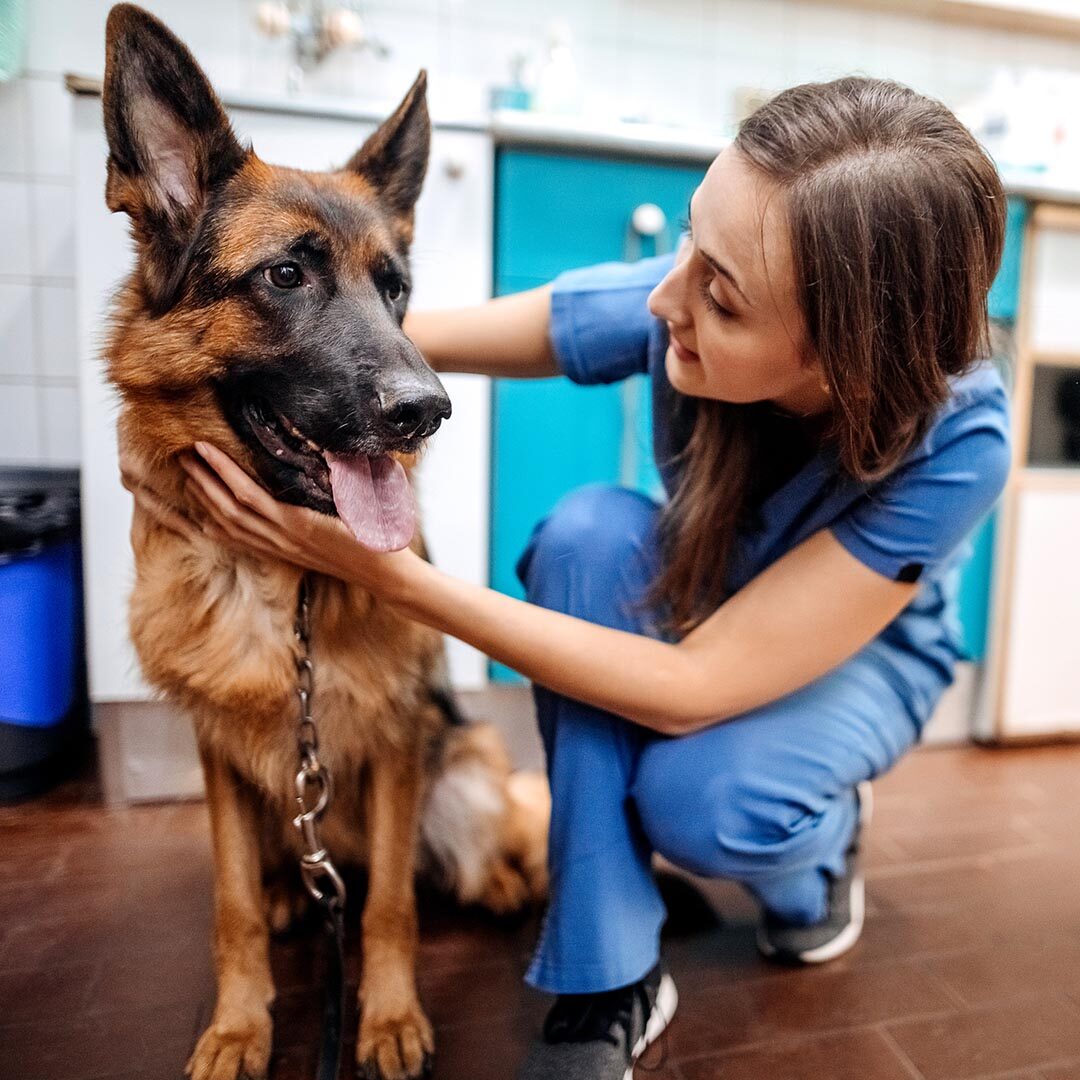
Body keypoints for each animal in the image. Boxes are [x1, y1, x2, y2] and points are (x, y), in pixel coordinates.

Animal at [101, 8, 548, 1080]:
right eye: (285, 276)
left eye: (397, 291)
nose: (427, 410)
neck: (286, 582)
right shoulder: (217, 750)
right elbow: (228, 907)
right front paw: (238, 1027)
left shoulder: (393, 741)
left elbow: (387, 906)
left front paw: (384, 1020)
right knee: (278, 879)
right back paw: (285, 899)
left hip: (460, 760)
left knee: (460, 845)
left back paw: (499, 880)